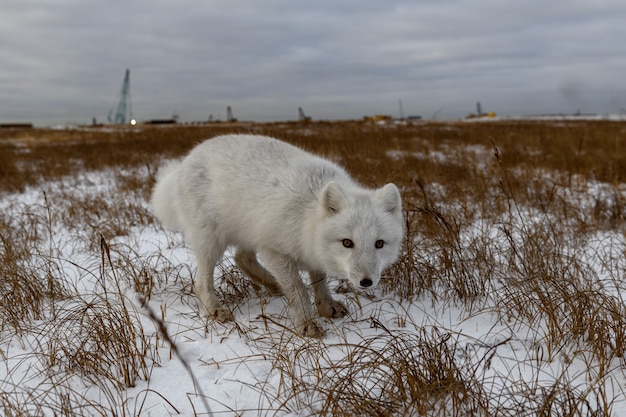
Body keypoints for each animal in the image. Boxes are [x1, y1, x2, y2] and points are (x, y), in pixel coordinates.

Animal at [152, 135, 404, 336]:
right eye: (347, 242)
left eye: (379, 243)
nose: (366, 282)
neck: (307, 214)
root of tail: (184, 163)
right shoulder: (274, 249)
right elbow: (299, 289)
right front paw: (307, 323)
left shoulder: (312, 251)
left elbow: (319, 282)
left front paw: (326, 306)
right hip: (211, 241)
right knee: (203, 281)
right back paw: (215, 308)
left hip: (247, 231)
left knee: (242, 258)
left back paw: (272, 284)